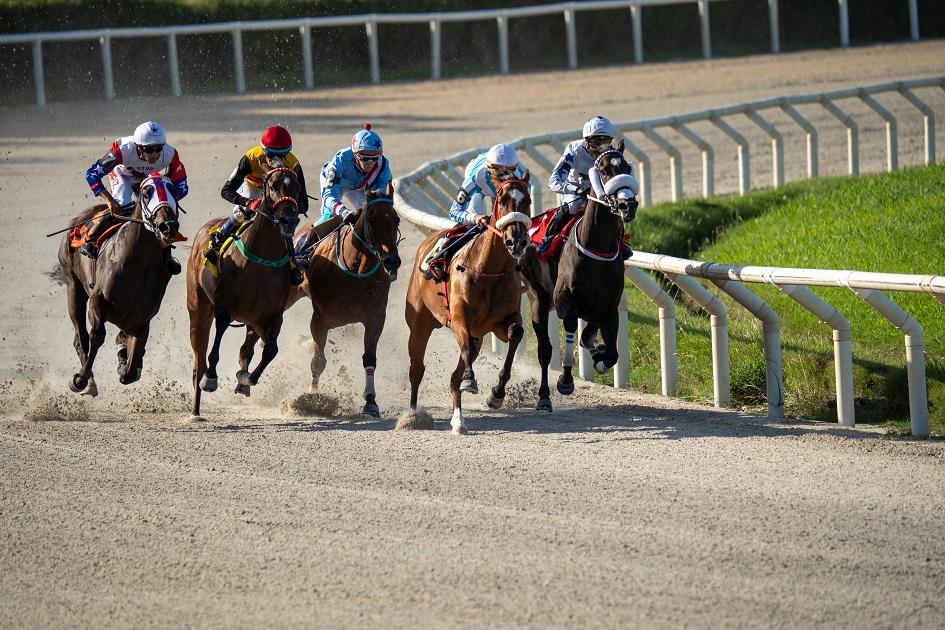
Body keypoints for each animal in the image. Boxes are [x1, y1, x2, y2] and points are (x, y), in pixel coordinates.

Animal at [57, 173, 183, 398]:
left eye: (173, 190)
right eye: (146, 192)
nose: (168, 226)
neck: (137, 263)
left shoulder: (141, 319)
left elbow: (130, 371)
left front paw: (125, 360)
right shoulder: (98, 301)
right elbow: (98, 335)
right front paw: (80, 379)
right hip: (73, 286)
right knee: (80, 336)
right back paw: (88, 382)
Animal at [184, 165, 302, 420]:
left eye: (298, 188)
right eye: (273, 186)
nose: (288, 220)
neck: (262, 260)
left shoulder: (272, 316)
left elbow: (271, 350)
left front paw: (246, 378)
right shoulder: (224, 307)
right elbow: (215, 348)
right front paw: (211, 378)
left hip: (252, 321)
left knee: (245, 349)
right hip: (198, 307)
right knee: (199, 358)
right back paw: (196, 409)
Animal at [288, 183, 406, 420]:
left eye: (396, 219)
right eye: (371, 217)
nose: (392, 261)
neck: (355, 269)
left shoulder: (375, 318)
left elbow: (369, 359)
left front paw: (370, 401)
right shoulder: (319, 320)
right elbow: (318, 361)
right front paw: (312, 398)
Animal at [402, 175, 532, 436]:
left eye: (528, 201)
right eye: (502, 200)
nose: (516, 242)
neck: (488, 270)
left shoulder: (501, 322)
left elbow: (516, 333)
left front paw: (497, 394)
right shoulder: (460, 319)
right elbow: (465, 353)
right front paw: (471, 380)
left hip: (477, 335)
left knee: (454, 377)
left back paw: (458, 420)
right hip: (419, 324)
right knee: (417, 369)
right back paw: (412, 415)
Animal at [516, 142, 640, 414]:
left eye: (626, 167)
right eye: (603, 170)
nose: (627, 205)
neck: (596, 248)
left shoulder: (608, 308)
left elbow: (609, 351)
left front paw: (600, 357)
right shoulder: (566, 302)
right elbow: (572, 332)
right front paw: (565, 380)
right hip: (538, 298)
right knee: (544, 349)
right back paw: (543, 396)